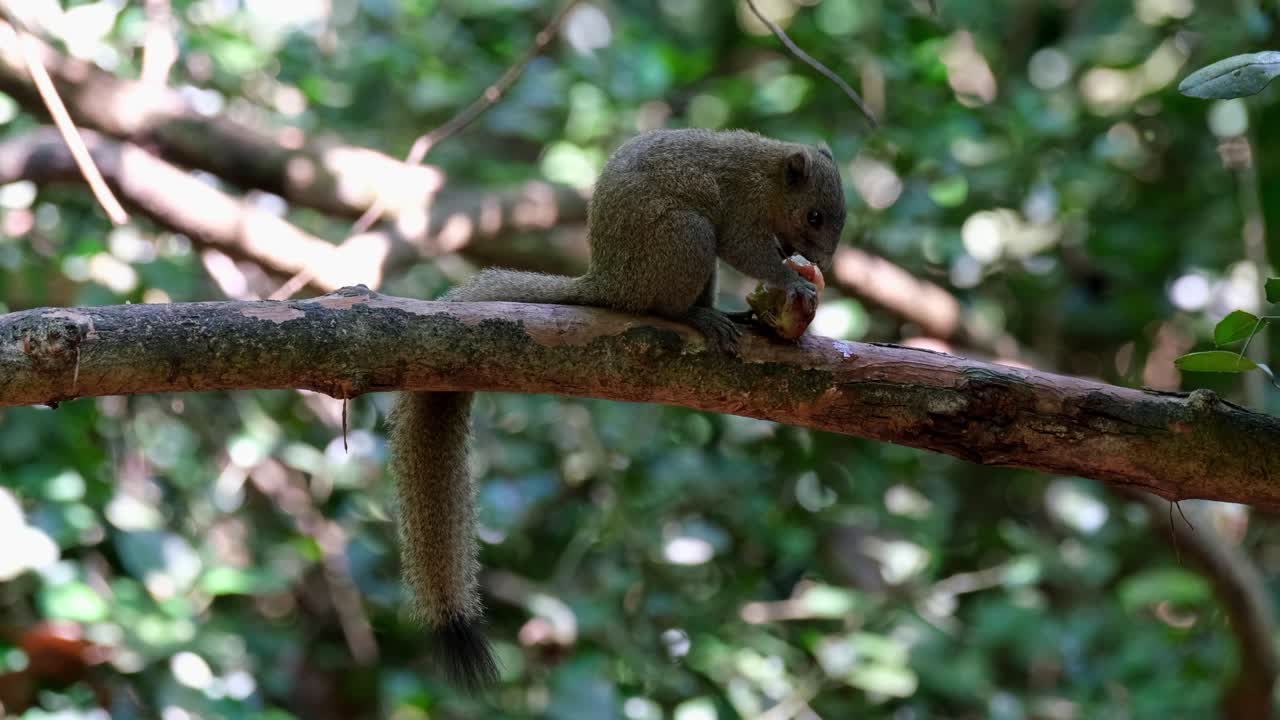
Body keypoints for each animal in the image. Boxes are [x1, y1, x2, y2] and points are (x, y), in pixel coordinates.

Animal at [386, 128, 847, 689]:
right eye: (815, 217)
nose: (823, 265)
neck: (770, 175)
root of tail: (608, 283)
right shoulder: (742, 213)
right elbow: (750, 252)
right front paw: (792, 281)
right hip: (684, 237)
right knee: (665, 306)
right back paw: (700, 317)